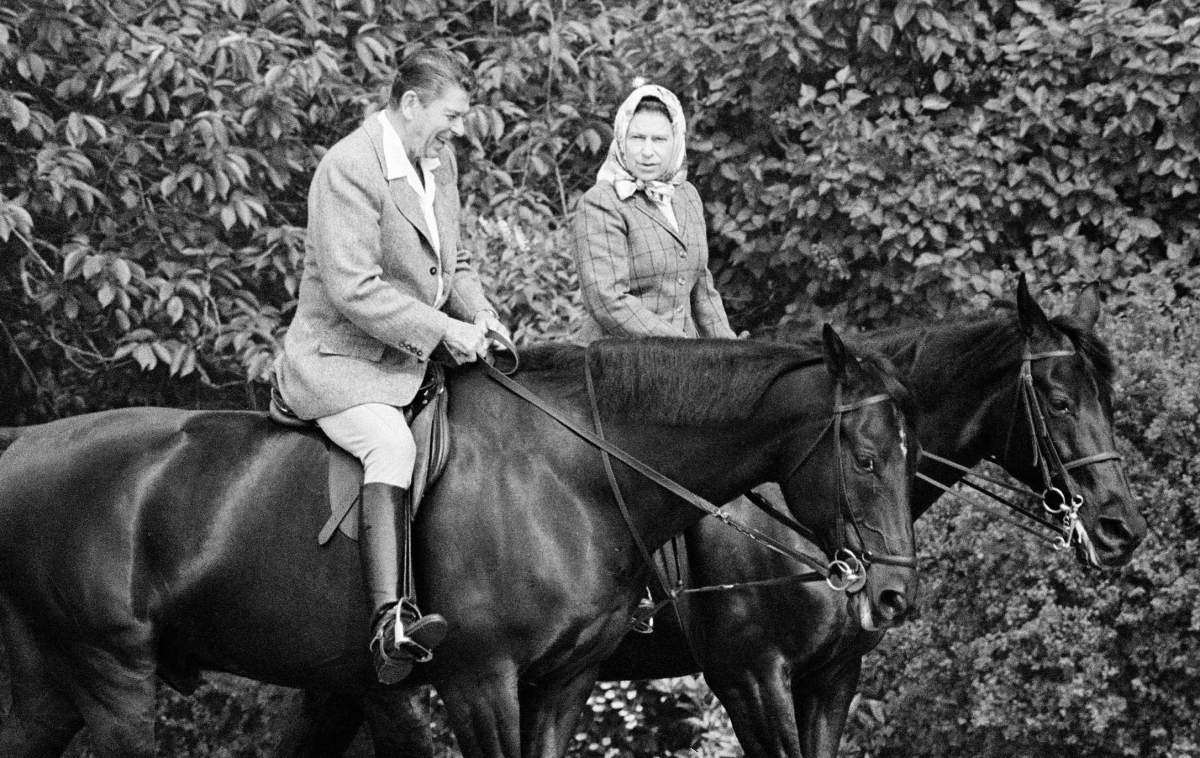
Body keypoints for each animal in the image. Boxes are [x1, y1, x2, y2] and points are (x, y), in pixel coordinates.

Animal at [0, 327, 921, 758]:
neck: (573, 471)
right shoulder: (482, 681)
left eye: (911, 454)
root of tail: (22, 444)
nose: (892, 596)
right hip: (112, 675)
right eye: (865, 457)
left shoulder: (562, 685)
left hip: (57, 683)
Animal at [278, 277, 1147, 757]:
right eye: (1058, 399)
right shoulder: (753, 674)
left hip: (349, 686)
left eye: (1110, 394)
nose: (1120, 529)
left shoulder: (835, 675)